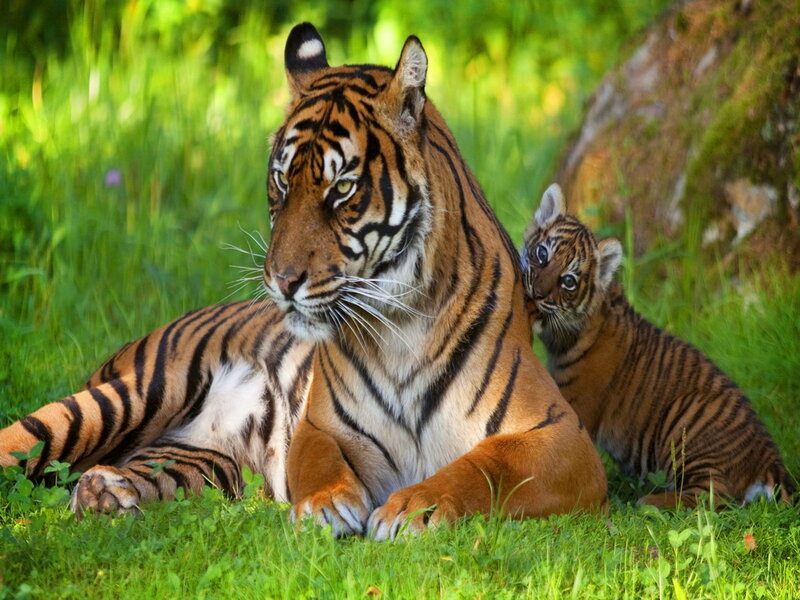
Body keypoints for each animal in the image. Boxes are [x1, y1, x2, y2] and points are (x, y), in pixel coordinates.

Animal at [0, 24, 608, 536]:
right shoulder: (324, 426)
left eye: (342, 189)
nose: (281, 280)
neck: (403, 323)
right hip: (123, 396)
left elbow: (483, 466)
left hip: (200, 463)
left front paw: (413, 508)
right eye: (279, 180)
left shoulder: (563, 438)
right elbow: (319, 461)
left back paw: (105, 493)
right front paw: (326, 505)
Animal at [521, 183, 795, 508]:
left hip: (686, 417)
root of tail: (769, 455)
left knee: (711, 497)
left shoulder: (576, 404)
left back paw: (648, 502)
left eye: (569, 281)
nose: (536, 294)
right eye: (542, 253)